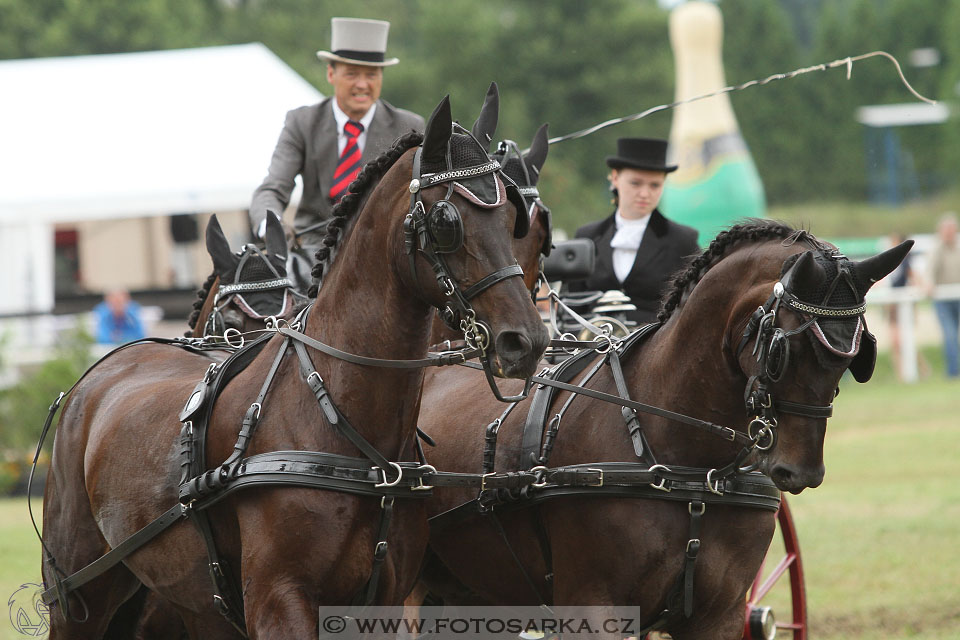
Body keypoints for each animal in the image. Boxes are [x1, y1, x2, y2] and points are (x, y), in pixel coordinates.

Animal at [43, 92, 548, 636]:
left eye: (515, 218)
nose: (526, 340)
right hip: (80, 595)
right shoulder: (279, 601)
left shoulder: (385, 603)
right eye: (447, 222)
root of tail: (94, 378)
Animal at [416, 222, 912, 636]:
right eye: (781, 351)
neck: (688, 467)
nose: (801, 471)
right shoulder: (594, 609)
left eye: (857, 356)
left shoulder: (719, 617)